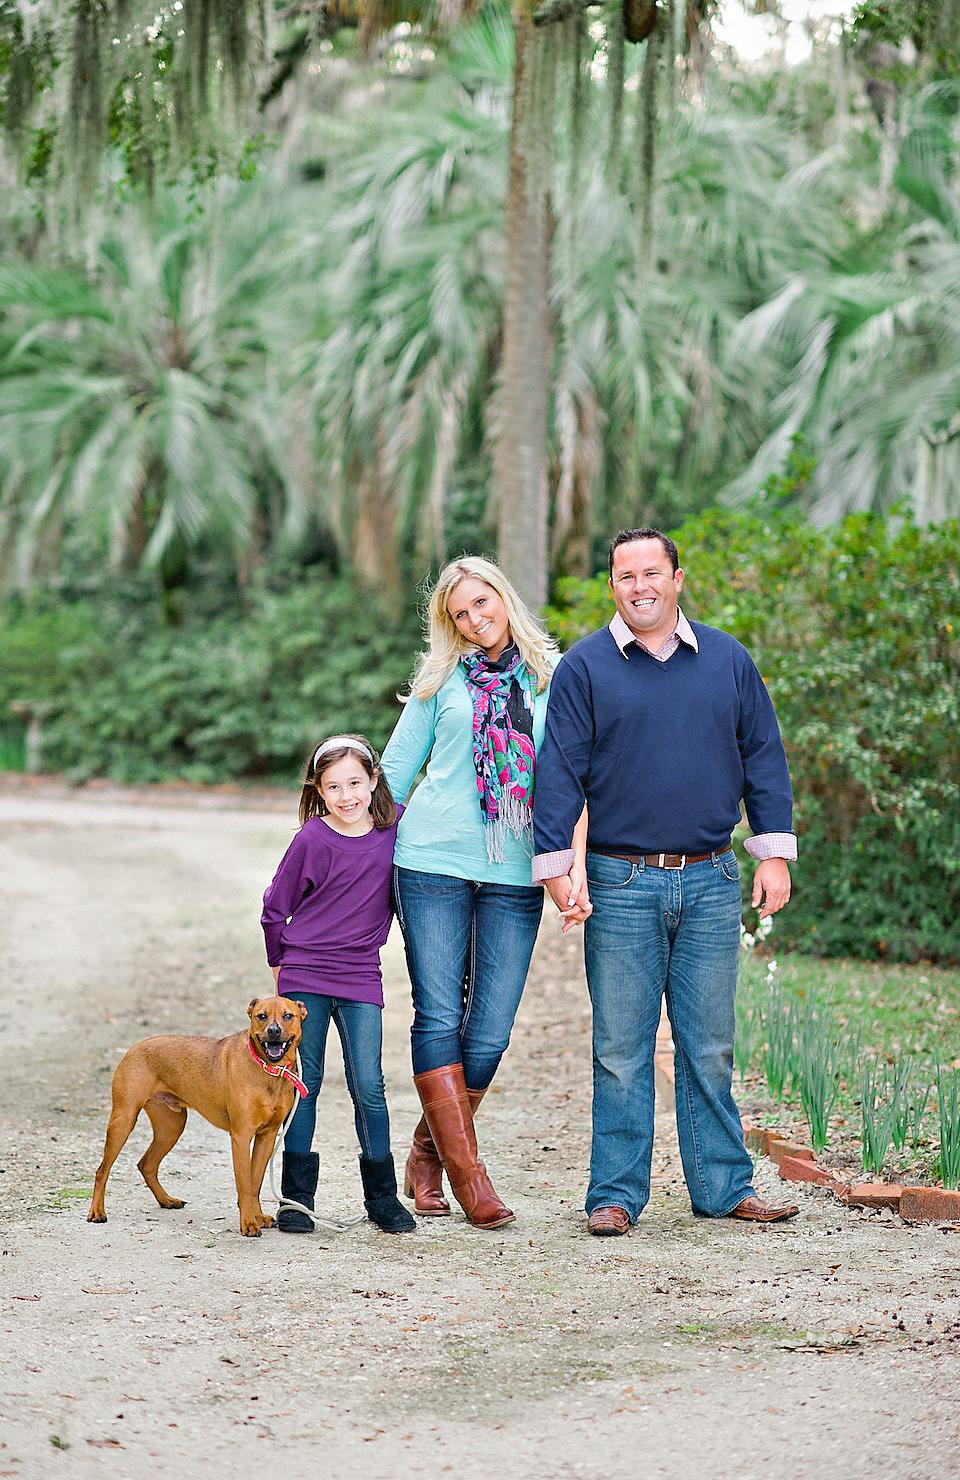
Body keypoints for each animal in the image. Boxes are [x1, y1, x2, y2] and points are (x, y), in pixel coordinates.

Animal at [86, 994, 304, 1237]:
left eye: (288, 1016)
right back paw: (97, 1212)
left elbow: (255, 1182)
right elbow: (245, 1185)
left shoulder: (267, 1136)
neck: (269, 1071)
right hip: (124, 1120)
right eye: (262, 1016)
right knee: (102, 1171)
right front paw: (248, 1223)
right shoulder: (241, 1137)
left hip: (171, 1127)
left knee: (146, 1164)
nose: (274, 1031)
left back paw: (167, 1200)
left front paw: (257, 1217)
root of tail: (134, 1048)